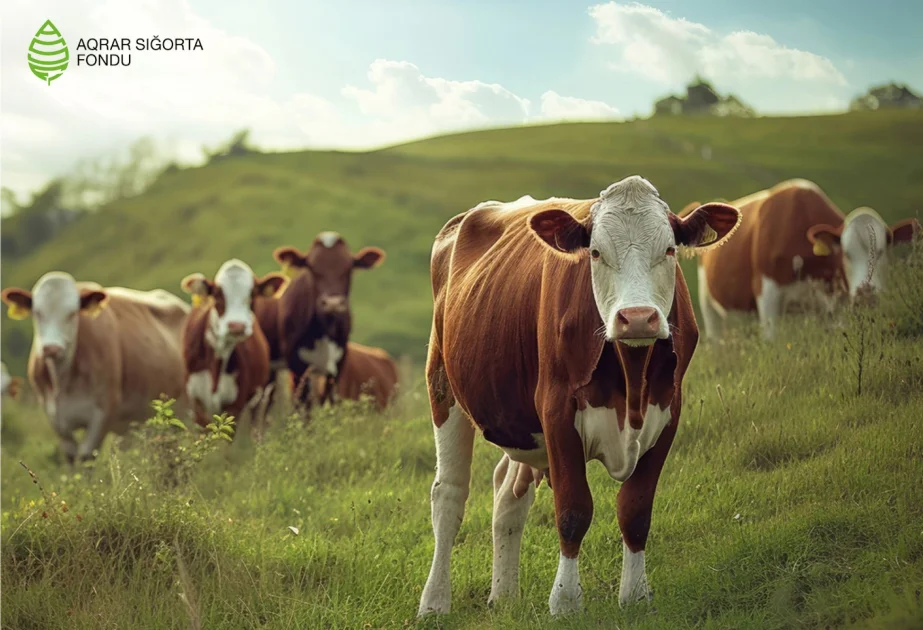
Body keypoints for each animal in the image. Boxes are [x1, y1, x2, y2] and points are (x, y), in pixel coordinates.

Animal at [1, 272, 189, 464]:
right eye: (38, 313)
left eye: (72, 314)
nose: (52, 348)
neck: (64, 381)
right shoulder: (54, 416)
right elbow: (71, 457)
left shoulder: (102, 413)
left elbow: (86, 456)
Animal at [270, 235, 386, 412]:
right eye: (312, 268)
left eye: (349, 268)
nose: (333, 303)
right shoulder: (297, 365)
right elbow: (303, 405)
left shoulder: (338, 363)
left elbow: (330, 400)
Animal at [418, 175, 744, 620]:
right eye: (595, 252)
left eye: (670, 250)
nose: (637, 318)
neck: (632, 380)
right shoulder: (557, 413)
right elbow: (573, 510)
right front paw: (566, 601)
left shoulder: (668, 413)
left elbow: (636, 510)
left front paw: (635, 595)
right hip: (443, 385)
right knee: (449, 495)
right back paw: (434, 602)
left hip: (520, 421)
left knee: (508, 493)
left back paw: (504, 595)